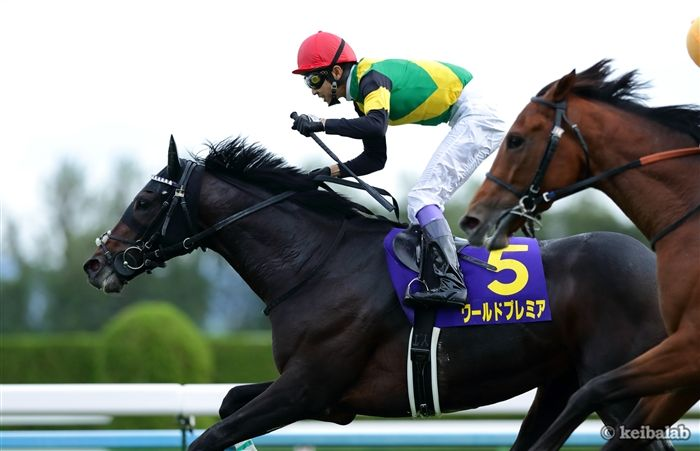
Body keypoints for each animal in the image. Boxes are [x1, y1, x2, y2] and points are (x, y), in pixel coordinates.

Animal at [84, 136, 673, 451]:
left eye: (143, 201)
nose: (96, 264)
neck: (316, 263)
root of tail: (658, 262)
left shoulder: (307, 387)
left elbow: (210, 436)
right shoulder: (329, 400)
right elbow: (228, 403)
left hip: (615, 384)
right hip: (565, 384)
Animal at [460, 59, 700, 450]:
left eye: (515, 139)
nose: (472, 218)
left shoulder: (690, 347)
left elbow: (590, 392)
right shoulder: (686, 364)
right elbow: (629, 423)